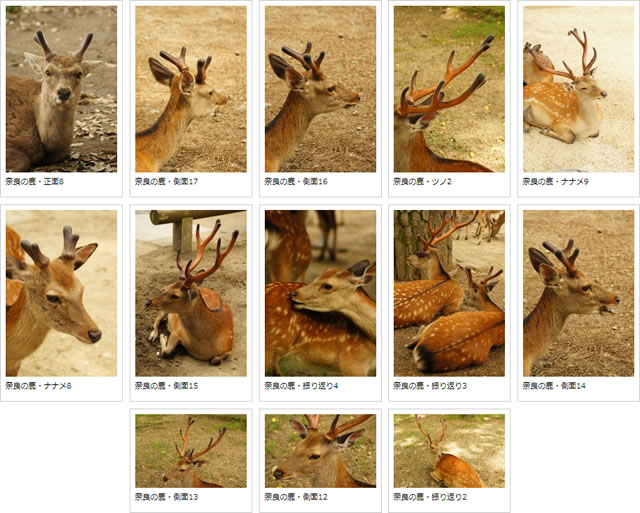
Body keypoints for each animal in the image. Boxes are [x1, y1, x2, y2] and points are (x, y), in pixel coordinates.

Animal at [146, 221, 239, 365]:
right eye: (168, 286)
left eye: (175, 295)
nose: (148, 302)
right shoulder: (177, 330)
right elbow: (166, 352)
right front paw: (162, 336)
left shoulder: (229, 348)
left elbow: (215, 360)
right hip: (165, 311)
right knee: (157, 318)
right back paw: (153, 335)